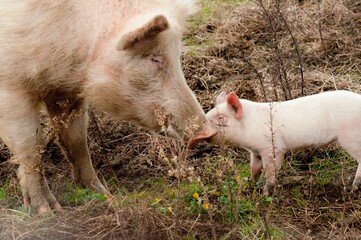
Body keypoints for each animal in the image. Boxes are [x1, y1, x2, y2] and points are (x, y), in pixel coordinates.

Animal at [0, 0, 214, 214]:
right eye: (155, 58)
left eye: (178, 55)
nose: (208, 132)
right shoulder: (11, 89)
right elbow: (32, 150)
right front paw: (47, 212)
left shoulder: (65, 93)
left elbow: (78, 143)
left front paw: (107, 197)